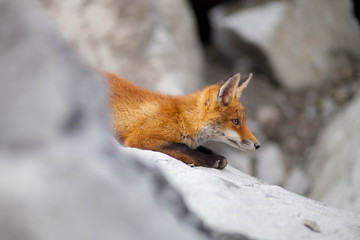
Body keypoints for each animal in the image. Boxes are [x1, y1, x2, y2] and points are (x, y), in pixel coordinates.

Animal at [105, 72, 260, 170]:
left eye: (243, 120)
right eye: (235, 121)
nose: (258, 145)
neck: (183, 119)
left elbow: (198, 147)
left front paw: (216, 155)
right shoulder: (140, 138)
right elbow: (183, 148)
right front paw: (211, 160)